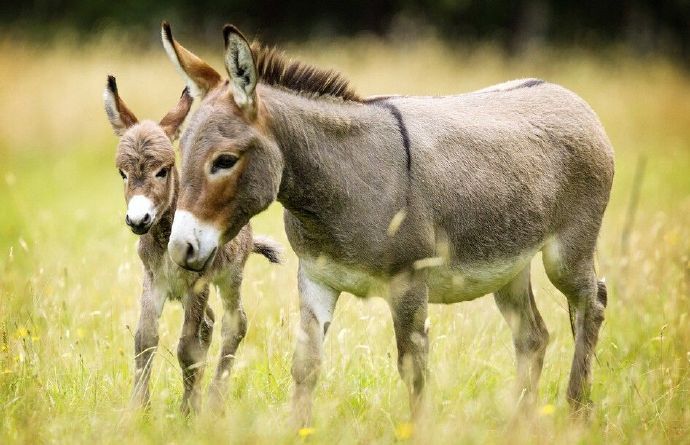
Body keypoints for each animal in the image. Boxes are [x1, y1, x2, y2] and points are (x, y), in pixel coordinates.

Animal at [103, 76, 280, 412]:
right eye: (122, 173)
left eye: (163, 170)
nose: (138, 220)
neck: (164, 238)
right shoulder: (154, 281)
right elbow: (145, 341)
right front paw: (138, 410)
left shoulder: (198, 283)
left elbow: (186, 348)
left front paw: (189, 411)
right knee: (208, 323)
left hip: (229, 277)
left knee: (234, 324)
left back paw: (214, 402)